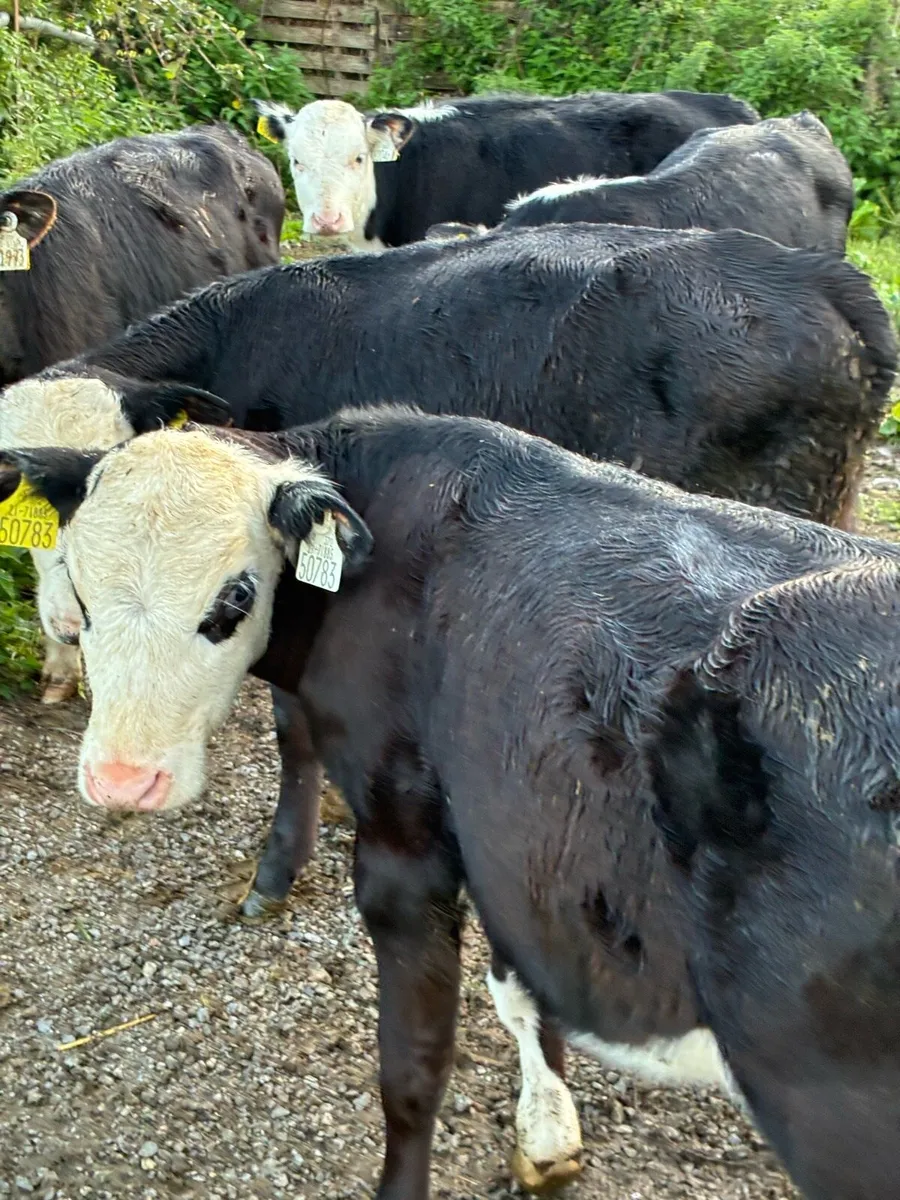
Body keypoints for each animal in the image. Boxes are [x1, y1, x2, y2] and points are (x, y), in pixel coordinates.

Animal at [4, 406, 900, 1200]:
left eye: (234, 600)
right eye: (79, 590)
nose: (123, 779)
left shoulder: (406, 842)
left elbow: (414, 1065)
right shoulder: (515, 836)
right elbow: (519, 991)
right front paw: (546, 1140)